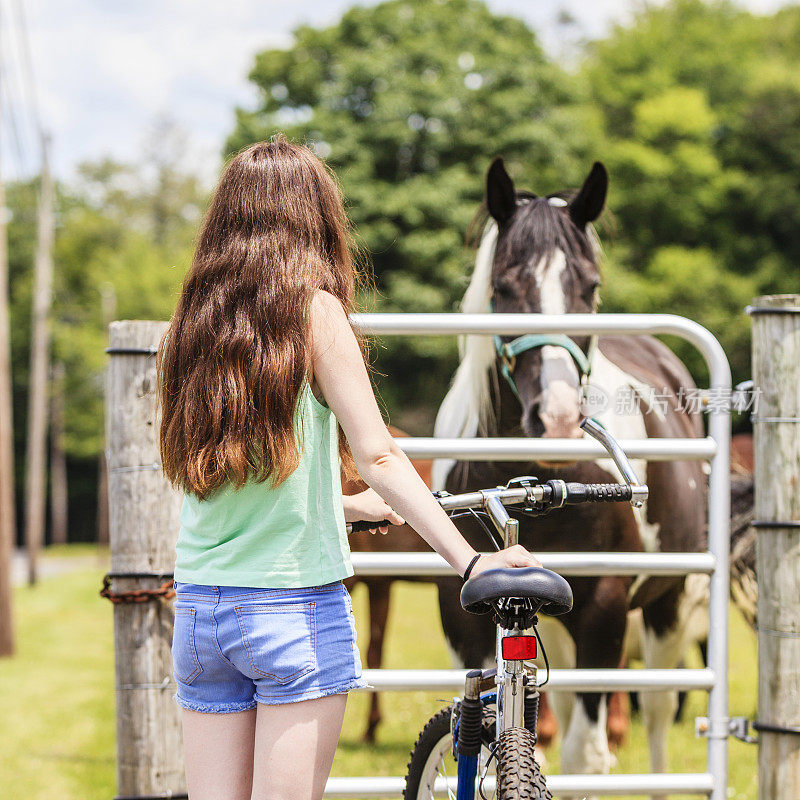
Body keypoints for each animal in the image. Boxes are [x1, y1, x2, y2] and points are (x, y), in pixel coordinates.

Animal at [432, 159, 708, 796]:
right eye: (503, 287)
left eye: (591, 287)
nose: (556, 419)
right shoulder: (463, 617)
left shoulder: (603, 610)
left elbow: (587, 754)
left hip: (668, 606)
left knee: (658, 712)